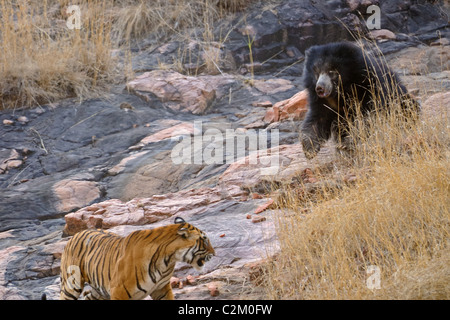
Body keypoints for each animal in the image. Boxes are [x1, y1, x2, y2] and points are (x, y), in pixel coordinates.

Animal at [58, 218, 216, 300]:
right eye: (204, 240)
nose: (214, 253)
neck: (167, 260)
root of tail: (75, 235)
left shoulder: (161, 288)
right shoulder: (118, 290)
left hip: (99, 290)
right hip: (71, 284)